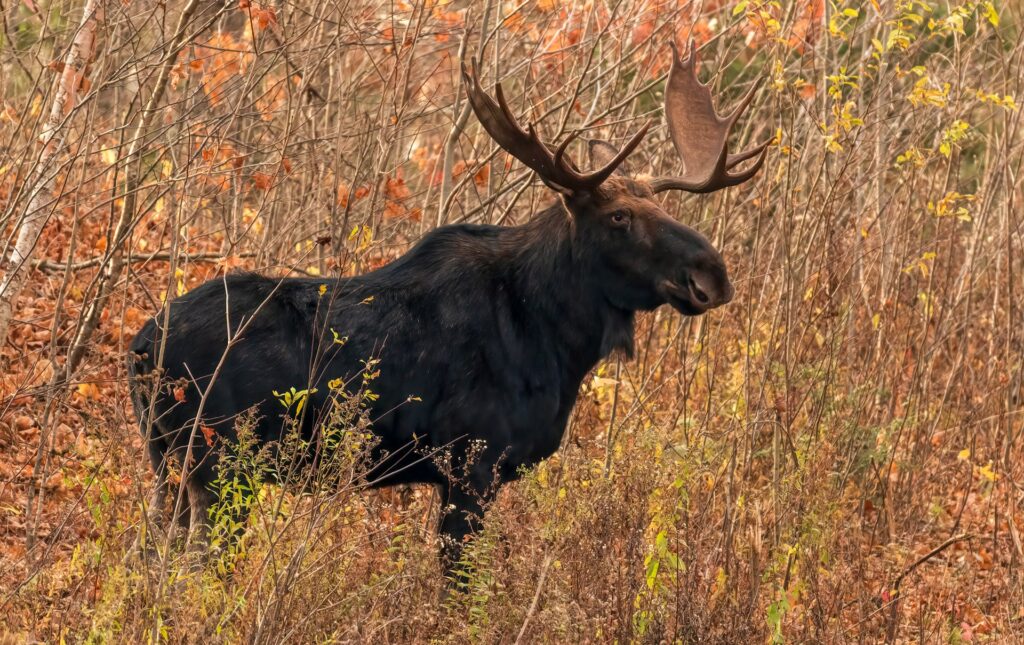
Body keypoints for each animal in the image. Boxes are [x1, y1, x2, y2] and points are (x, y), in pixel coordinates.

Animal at [127, 41, 769, 570]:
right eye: (618, 217)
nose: (712, 275)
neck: (556, 341)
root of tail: (138, 348)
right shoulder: (470, 466)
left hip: (168, 468)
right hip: (218, 466)